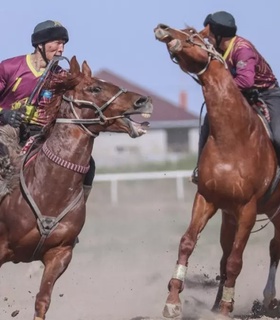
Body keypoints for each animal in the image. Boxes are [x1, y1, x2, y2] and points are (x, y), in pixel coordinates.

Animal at [154, 23, 280, 318]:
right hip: (229, 217)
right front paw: (173, 300)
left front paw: (225, 307)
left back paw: (268, 298)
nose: (163, 28)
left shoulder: (248, 209)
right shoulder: (208, 200)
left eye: (193, 34)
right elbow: (188, 243)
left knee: (274, 249)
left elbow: (235, 260)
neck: (234, 137)